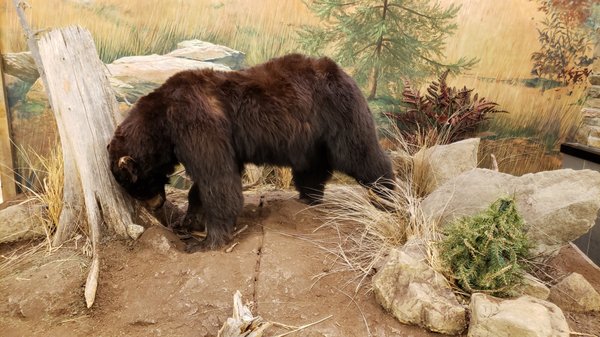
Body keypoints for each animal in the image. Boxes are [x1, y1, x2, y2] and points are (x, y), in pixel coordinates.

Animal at [108, 53, 396, 251]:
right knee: (311, 168)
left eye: (135, 186)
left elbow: (217, 178)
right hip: (311, 138)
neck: (163, 122)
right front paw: (191, 220)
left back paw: (385, 195)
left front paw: (207, 240)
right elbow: (210, 180)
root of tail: (344, 73)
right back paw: (308, 196)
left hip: (338, 115)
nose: (156, 205)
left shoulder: (197, 124)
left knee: (361, 154)